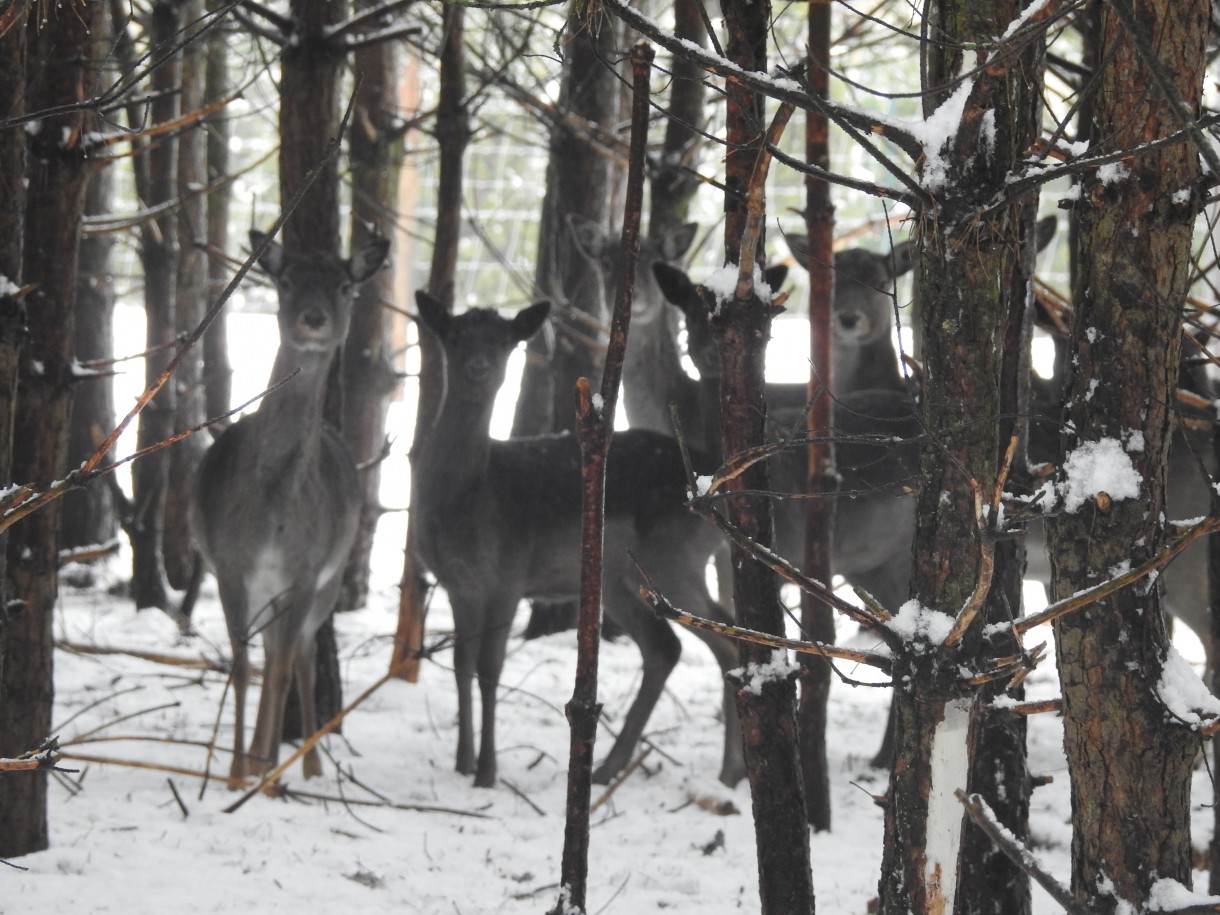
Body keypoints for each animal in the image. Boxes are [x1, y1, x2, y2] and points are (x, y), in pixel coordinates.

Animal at [192, 225, 387, 785]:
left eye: (346, 286)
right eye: (286, 281)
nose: (314, 319)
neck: (274, 513)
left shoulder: (304, 572)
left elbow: (277, 670)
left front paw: (266, 777)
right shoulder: (230, 566)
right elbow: (241, 667)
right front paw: (236, 773)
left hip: (327, 580)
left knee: (297, 651)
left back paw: (306, 766)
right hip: (269, 590)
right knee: (274, 649)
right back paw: (266, 759)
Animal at [409, 291, 741, 790]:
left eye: (505, 339)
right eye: (454, 333)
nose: (479, 367)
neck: (470, 499)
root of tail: (714, 486)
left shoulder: (508, 576)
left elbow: (489, 668)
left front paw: (487, 772)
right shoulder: (457, 584)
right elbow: (460, 665)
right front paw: (462, 762)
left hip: (674, 558)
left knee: (726, 638)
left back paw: (729, 771)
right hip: (622, 579)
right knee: (665, 646)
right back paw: (609, 767)